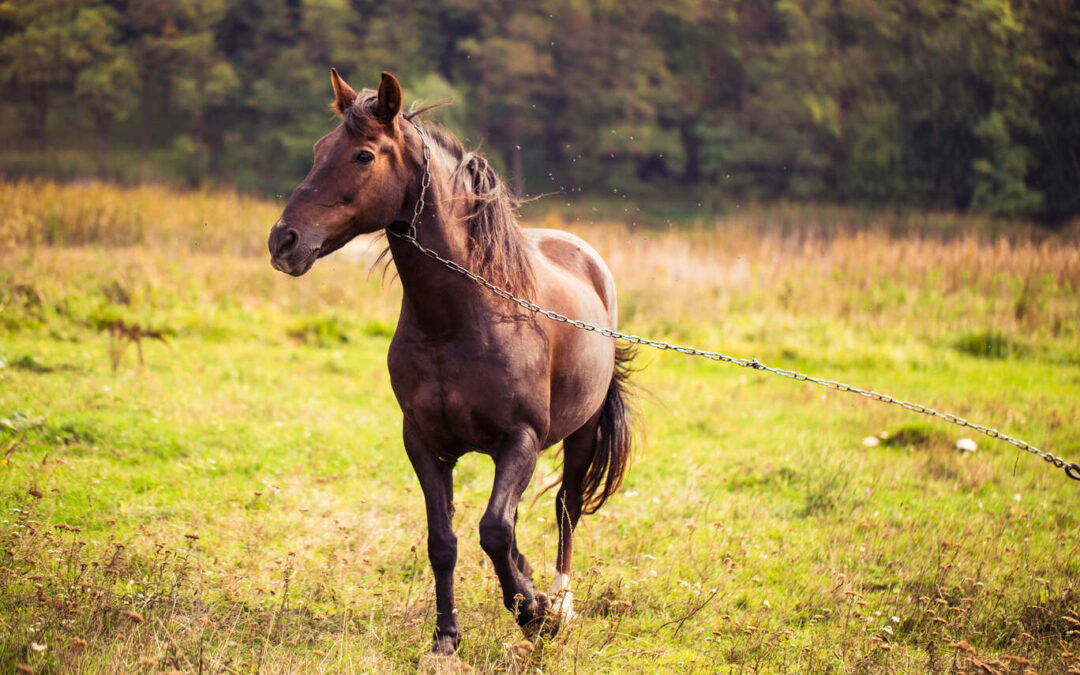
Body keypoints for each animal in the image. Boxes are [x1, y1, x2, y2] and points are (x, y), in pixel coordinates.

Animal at [266, 71, 630, 656]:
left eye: (364, 155)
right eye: (320, 149)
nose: (284, 241)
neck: (460, 319)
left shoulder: (520, 439)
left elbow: (494, 530)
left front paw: (535, 615)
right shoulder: (424, 444)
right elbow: (446, 540)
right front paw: (446, 638)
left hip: (582, 433)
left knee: (567, 509)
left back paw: (560, 602)